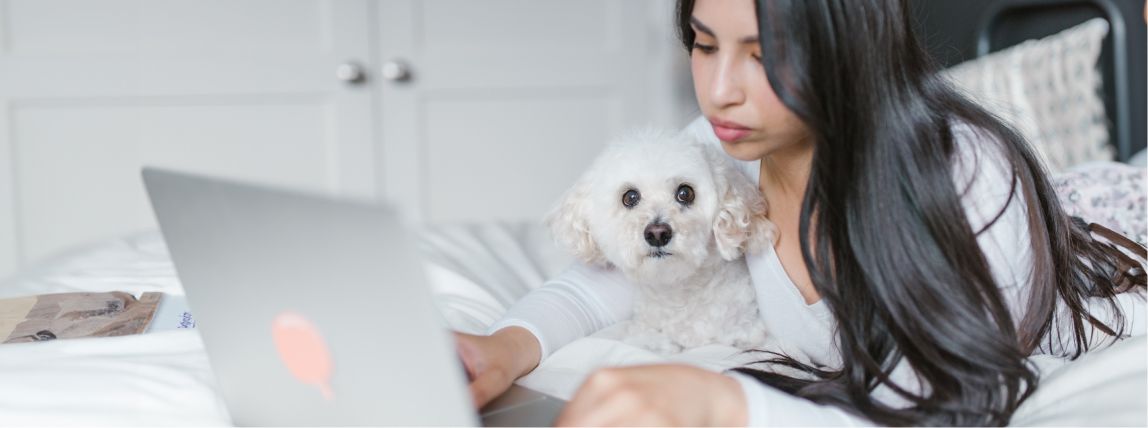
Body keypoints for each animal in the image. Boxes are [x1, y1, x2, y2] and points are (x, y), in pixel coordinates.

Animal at [546, 128, 780, 351]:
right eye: (630, 197)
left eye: (685, 193)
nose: (657, 233)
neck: (679, 292)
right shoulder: (643, 331)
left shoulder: (748, 330)